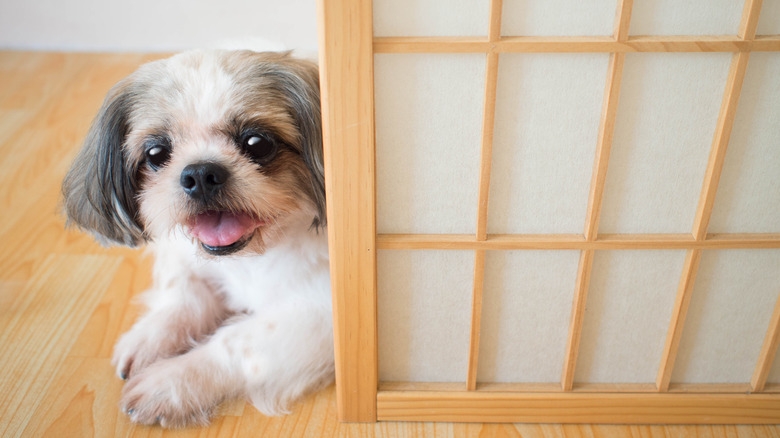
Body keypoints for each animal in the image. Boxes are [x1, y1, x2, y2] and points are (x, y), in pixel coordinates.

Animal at [58, 48, 332, 428]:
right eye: (156, 154)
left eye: (257, 143)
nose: (201, 173)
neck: (250, 260)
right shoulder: (186, 262)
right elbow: (183, 296)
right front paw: (152, 336)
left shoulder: (319, 314)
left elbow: (235, 343)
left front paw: (172, 381)